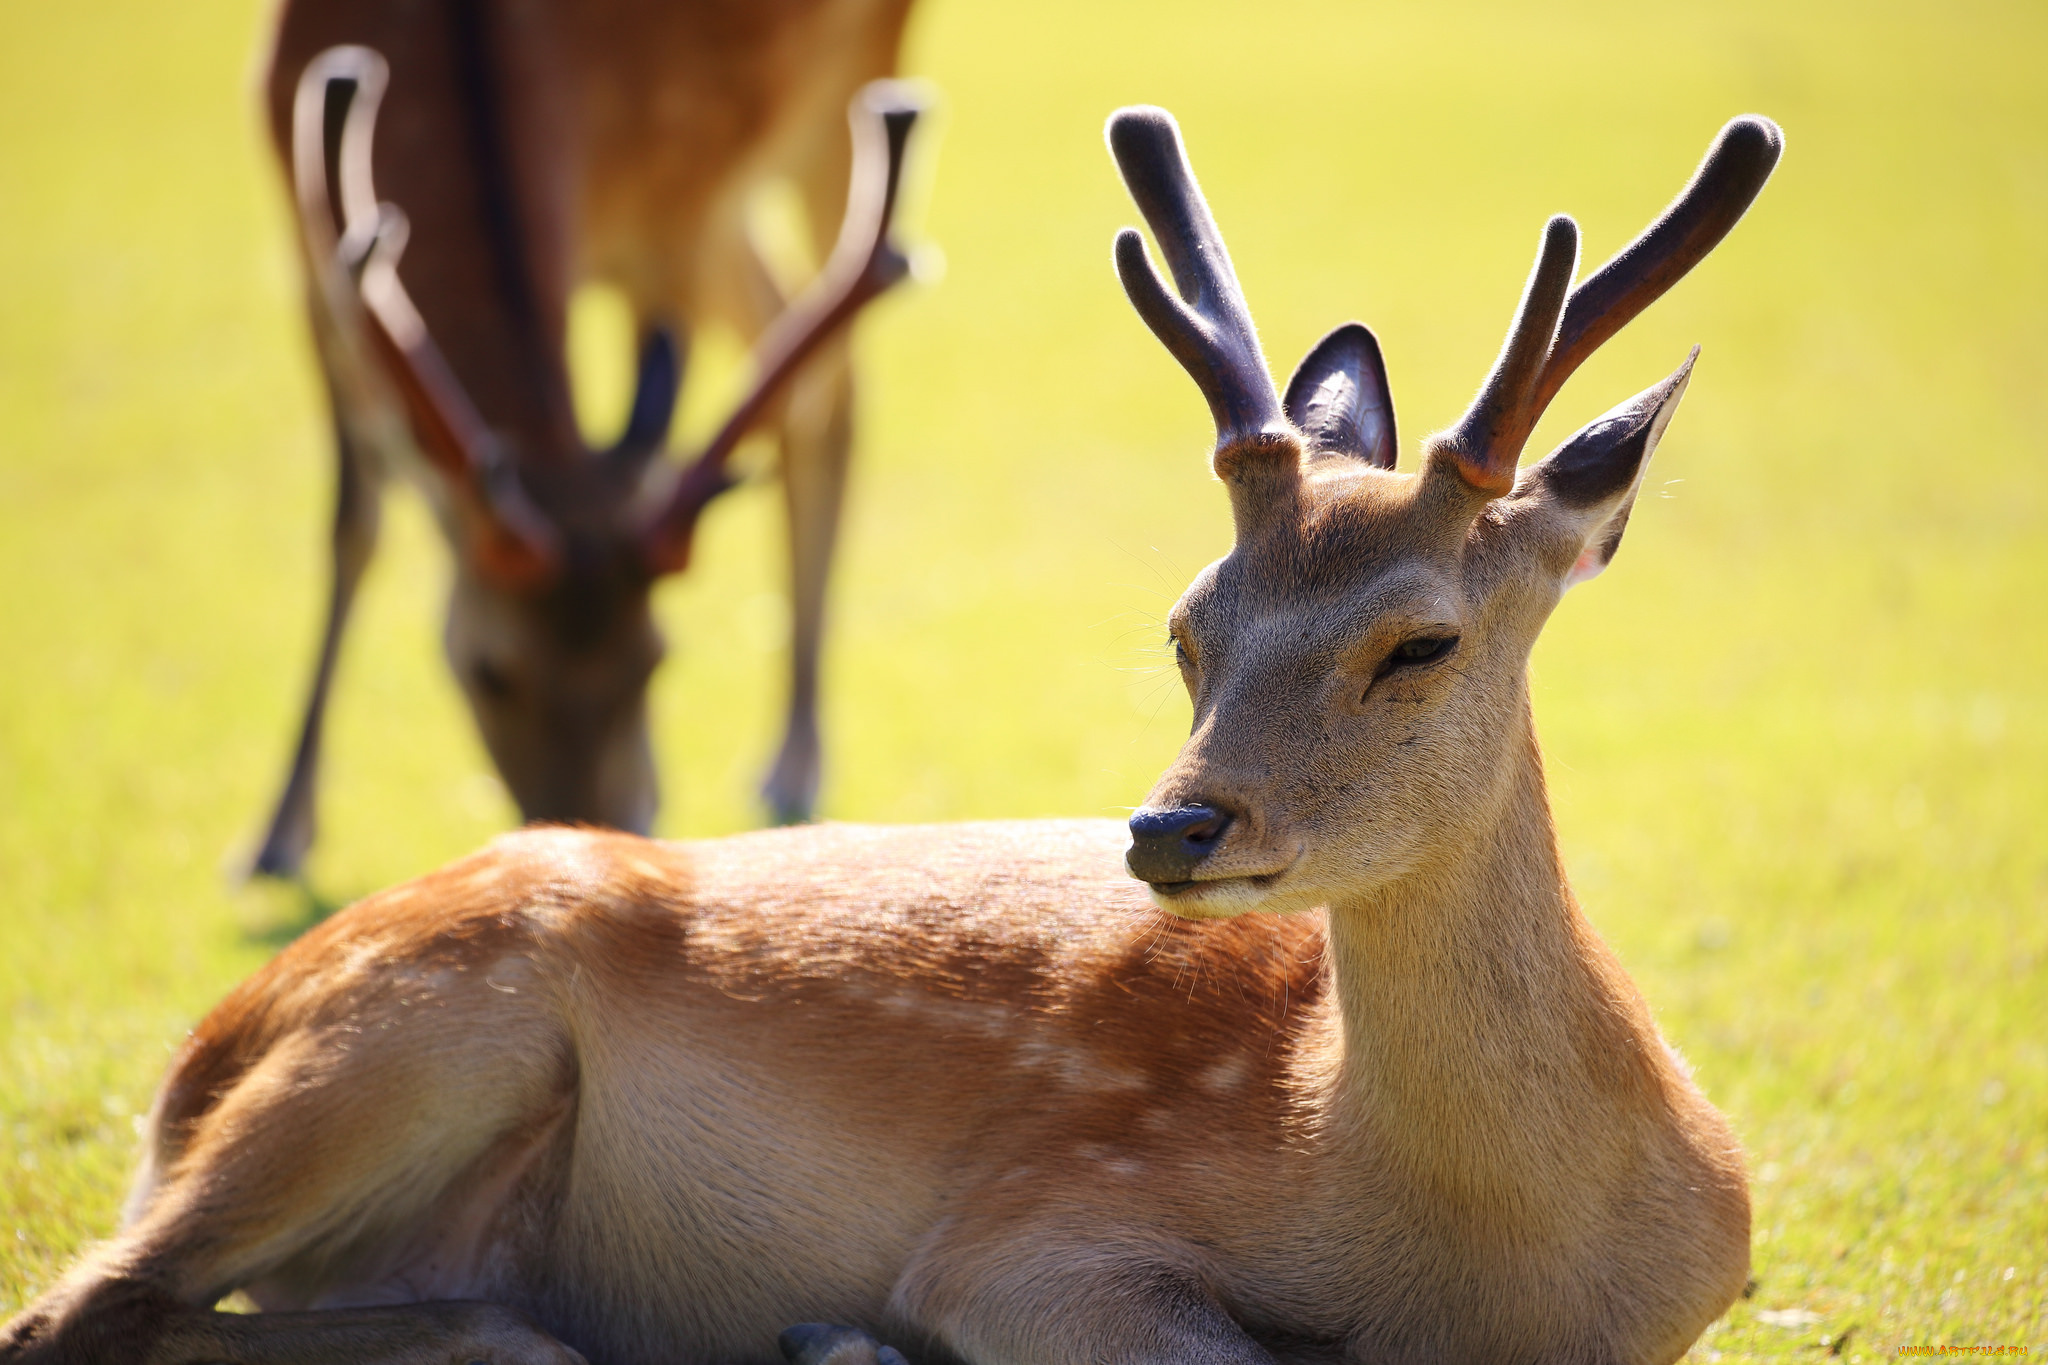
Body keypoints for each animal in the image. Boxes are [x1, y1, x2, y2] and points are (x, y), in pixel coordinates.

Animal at [0, 106, 1777, 1365]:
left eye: (1420, 639)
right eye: (1187, 624)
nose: (1173, 828)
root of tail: (195, 1056)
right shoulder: (1035, 1231)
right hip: (408, 1033)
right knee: (86, 1305)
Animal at [247, 0, 921, 875]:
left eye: (656, 658)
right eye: (489, 672)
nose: (588, 829)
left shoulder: (676, 208)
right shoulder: (312, 257)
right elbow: (352, 526)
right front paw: (278, 832)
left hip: (846, 89)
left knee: (829, 383)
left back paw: (795, 759)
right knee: (798, 352)